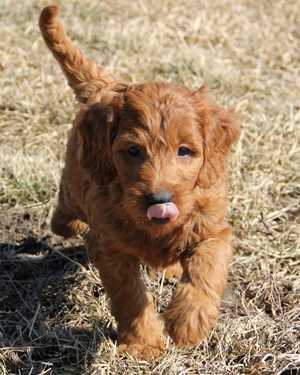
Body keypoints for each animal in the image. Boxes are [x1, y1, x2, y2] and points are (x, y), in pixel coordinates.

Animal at [39, 4, 240, 360]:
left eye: (185, 151)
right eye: (133, 151)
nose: (159, 201)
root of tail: (107, 86)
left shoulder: (213, 229)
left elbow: (206, 269)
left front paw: (188, 322)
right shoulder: (111, 247)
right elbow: (130, 296)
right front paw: (143, 343)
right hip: (78, 177)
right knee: (66, 203)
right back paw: (66, 223)